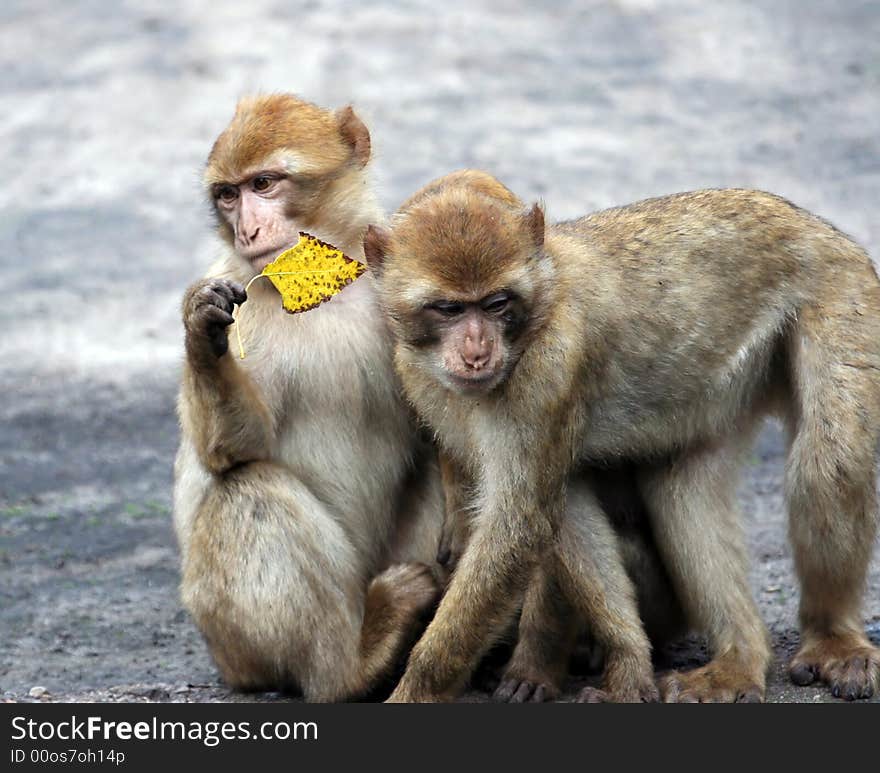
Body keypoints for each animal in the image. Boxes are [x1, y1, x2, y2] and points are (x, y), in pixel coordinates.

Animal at [171, 95, 444, 700]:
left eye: (264, 183)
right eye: (227, 195)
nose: (247, 230)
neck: (327, 290)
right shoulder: (242, 298)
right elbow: (233, 449)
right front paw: (200, 332)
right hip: (235, 640)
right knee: (247, 490)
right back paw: (351, 666)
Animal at [364, 170, 880, 700]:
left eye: (496, 304)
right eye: (448, 309)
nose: (476, 352)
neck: (539, 308)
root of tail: (819, 226)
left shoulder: (548, 372)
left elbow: (519, 528)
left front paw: (421, 686)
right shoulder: (417, 374)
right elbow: (564, 511)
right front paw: (629, 662)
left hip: (840, 290)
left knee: (830, 466)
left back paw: (834, 640)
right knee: (683, 493)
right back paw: (740, 661)